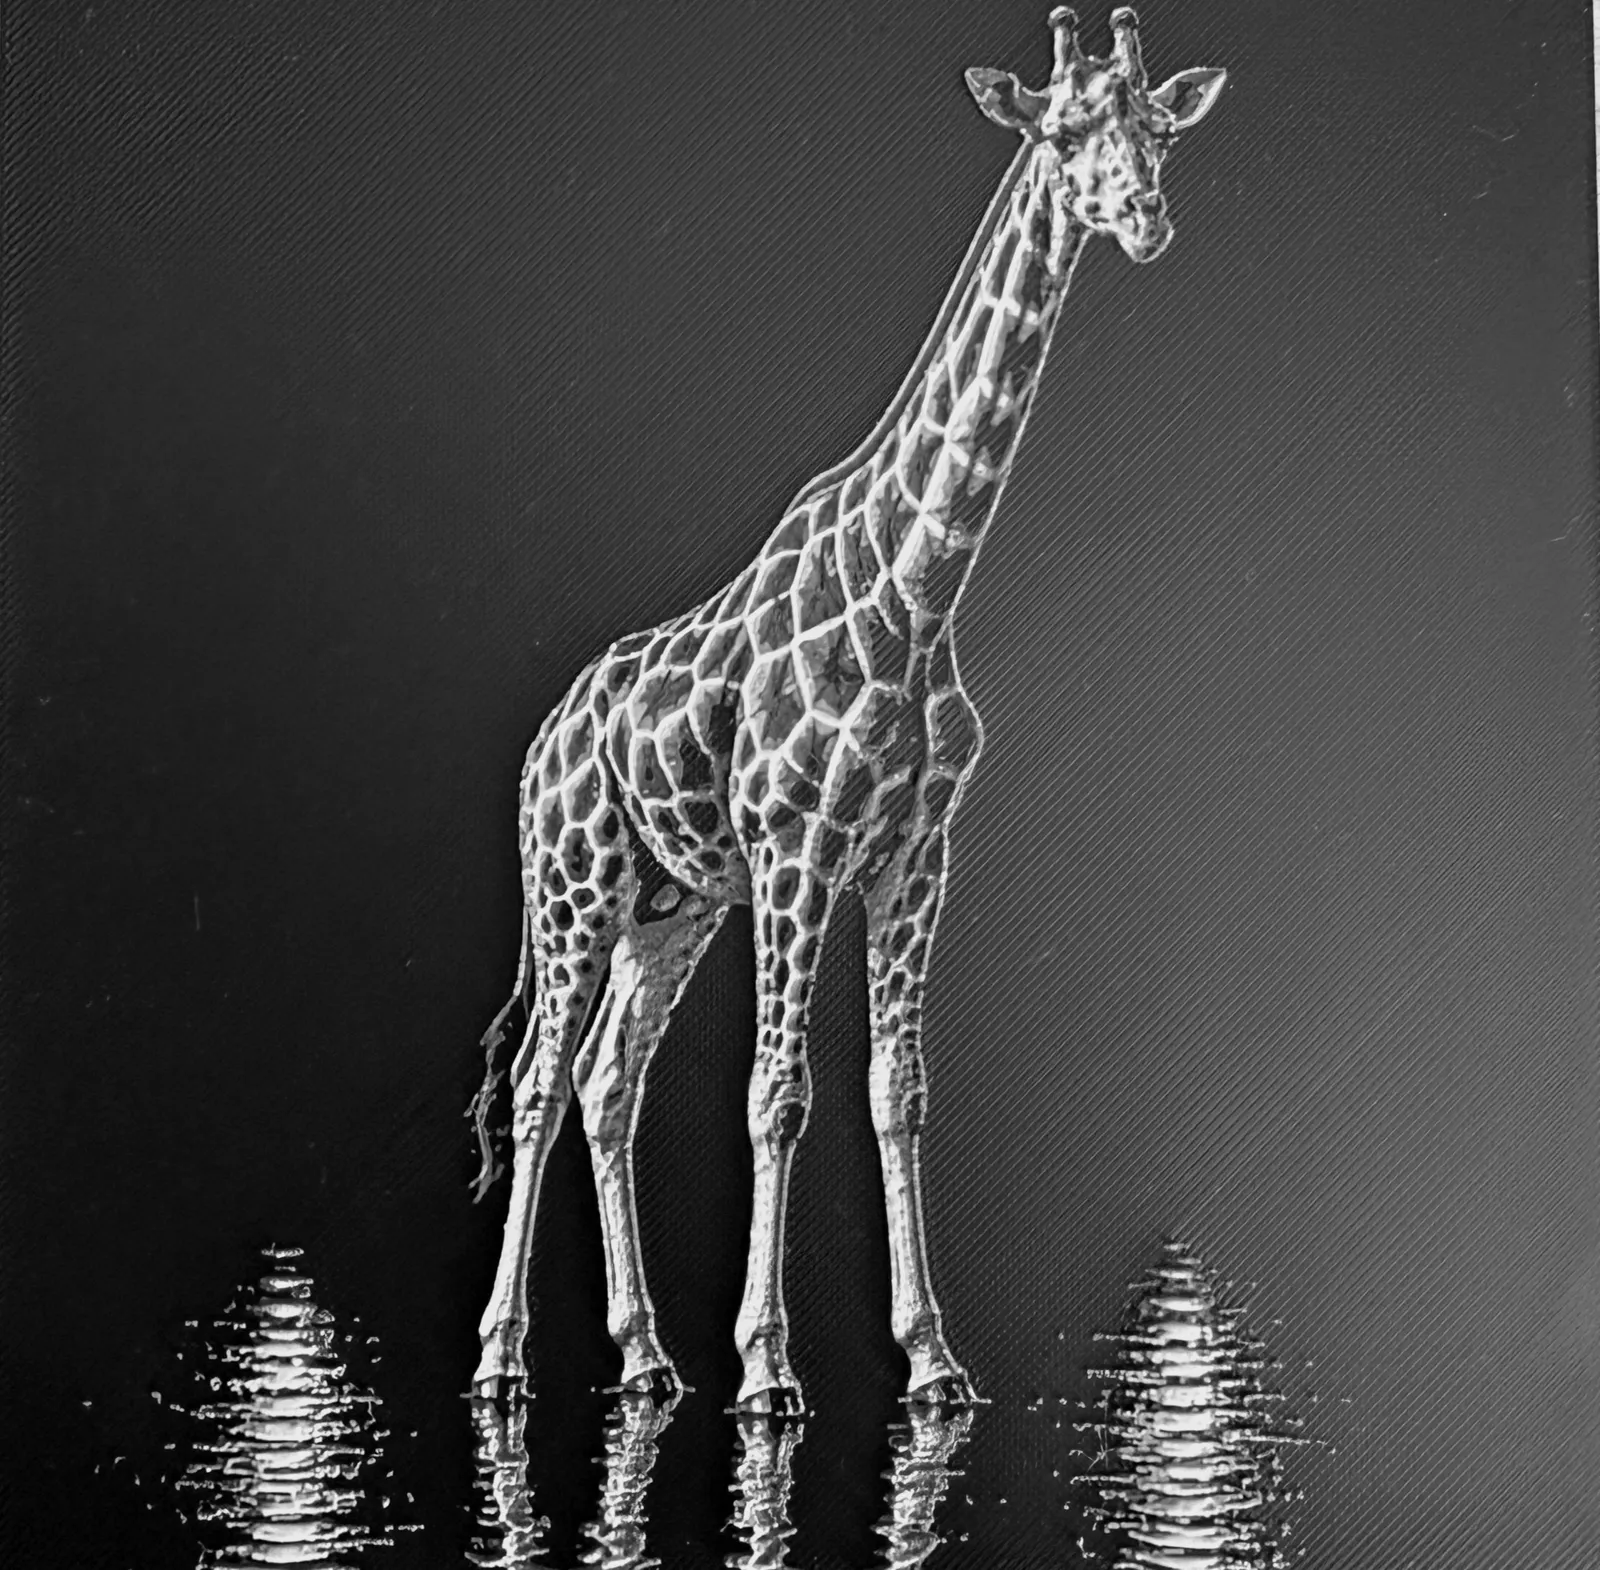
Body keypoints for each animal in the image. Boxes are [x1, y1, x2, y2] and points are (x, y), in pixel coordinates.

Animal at [468, 7, 1226, 1411]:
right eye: (1059, 130)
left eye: (1156, 126)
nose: (1144, 217)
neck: (918, 588)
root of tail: (544, 744)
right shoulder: (798, 850)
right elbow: (777, 1091)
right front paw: (768, 1368)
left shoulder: (913, 854)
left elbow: (896, 1088)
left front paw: (930, 1358)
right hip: (575, 880)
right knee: (543, 1080)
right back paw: (501, 1356)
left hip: (670, 908)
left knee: (607, 1081)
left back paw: (645, 1355)